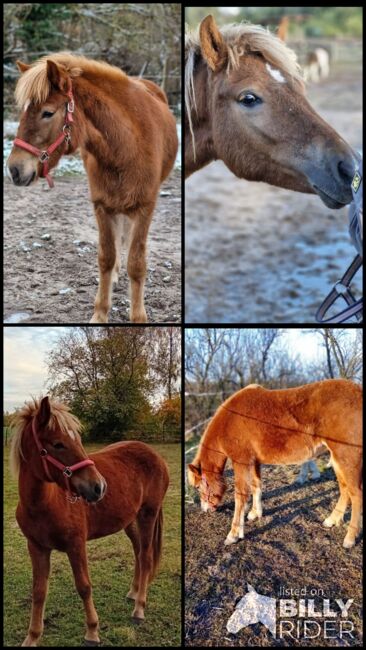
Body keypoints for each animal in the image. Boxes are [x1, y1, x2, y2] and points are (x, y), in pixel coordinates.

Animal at [5, 54, 177, 322]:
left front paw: (138, 317)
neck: (125, 147)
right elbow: (106, 258)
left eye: (47, 113)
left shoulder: (145, 207)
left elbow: (137, 263)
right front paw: (100, 314)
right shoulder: (102, 206)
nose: (14, 169)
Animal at [10, 394, 169, 644]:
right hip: (129, 521)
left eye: (78, 440)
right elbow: (39, 591)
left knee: (146, 557)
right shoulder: (36, 547)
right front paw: (32, 637)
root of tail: (155, 455)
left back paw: (139, 608)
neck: (44, 504)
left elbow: (84, 586)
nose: (99, 487)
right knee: (138, 552)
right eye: (57, 444)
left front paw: (92, 631)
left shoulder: (76, 545)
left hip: (148, 515)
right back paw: (133, 593)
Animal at [189, 378, 364, 548]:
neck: (230, 419)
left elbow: (240, 496)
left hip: (346, 458)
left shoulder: (242, 462)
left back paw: (350, 538)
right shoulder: (254, 462)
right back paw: (332, 520)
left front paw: (233, 534)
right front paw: (255, 513)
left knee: (356, 494)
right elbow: (256, 485)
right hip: (337, 459)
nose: (206, 509)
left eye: (198, 487)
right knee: (344, 490)